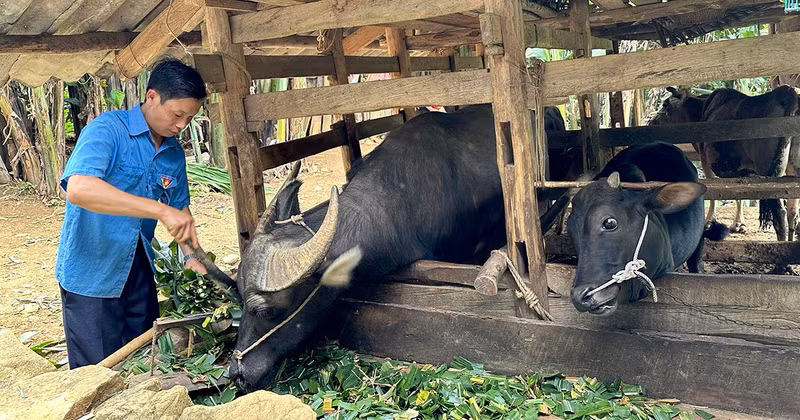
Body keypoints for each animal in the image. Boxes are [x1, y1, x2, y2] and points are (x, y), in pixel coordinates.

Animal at [650, 86, 799, 243]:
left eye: (665, 105)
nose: (651, 122)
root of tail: (789, 93)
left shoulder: (705, 160)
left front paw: (710, 221)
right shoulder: (740, 169)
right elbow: (740, 194)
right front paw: (739, 224)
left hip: (770, 172)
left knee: (780, 213)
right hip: (793, 171)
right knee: (793, 212)